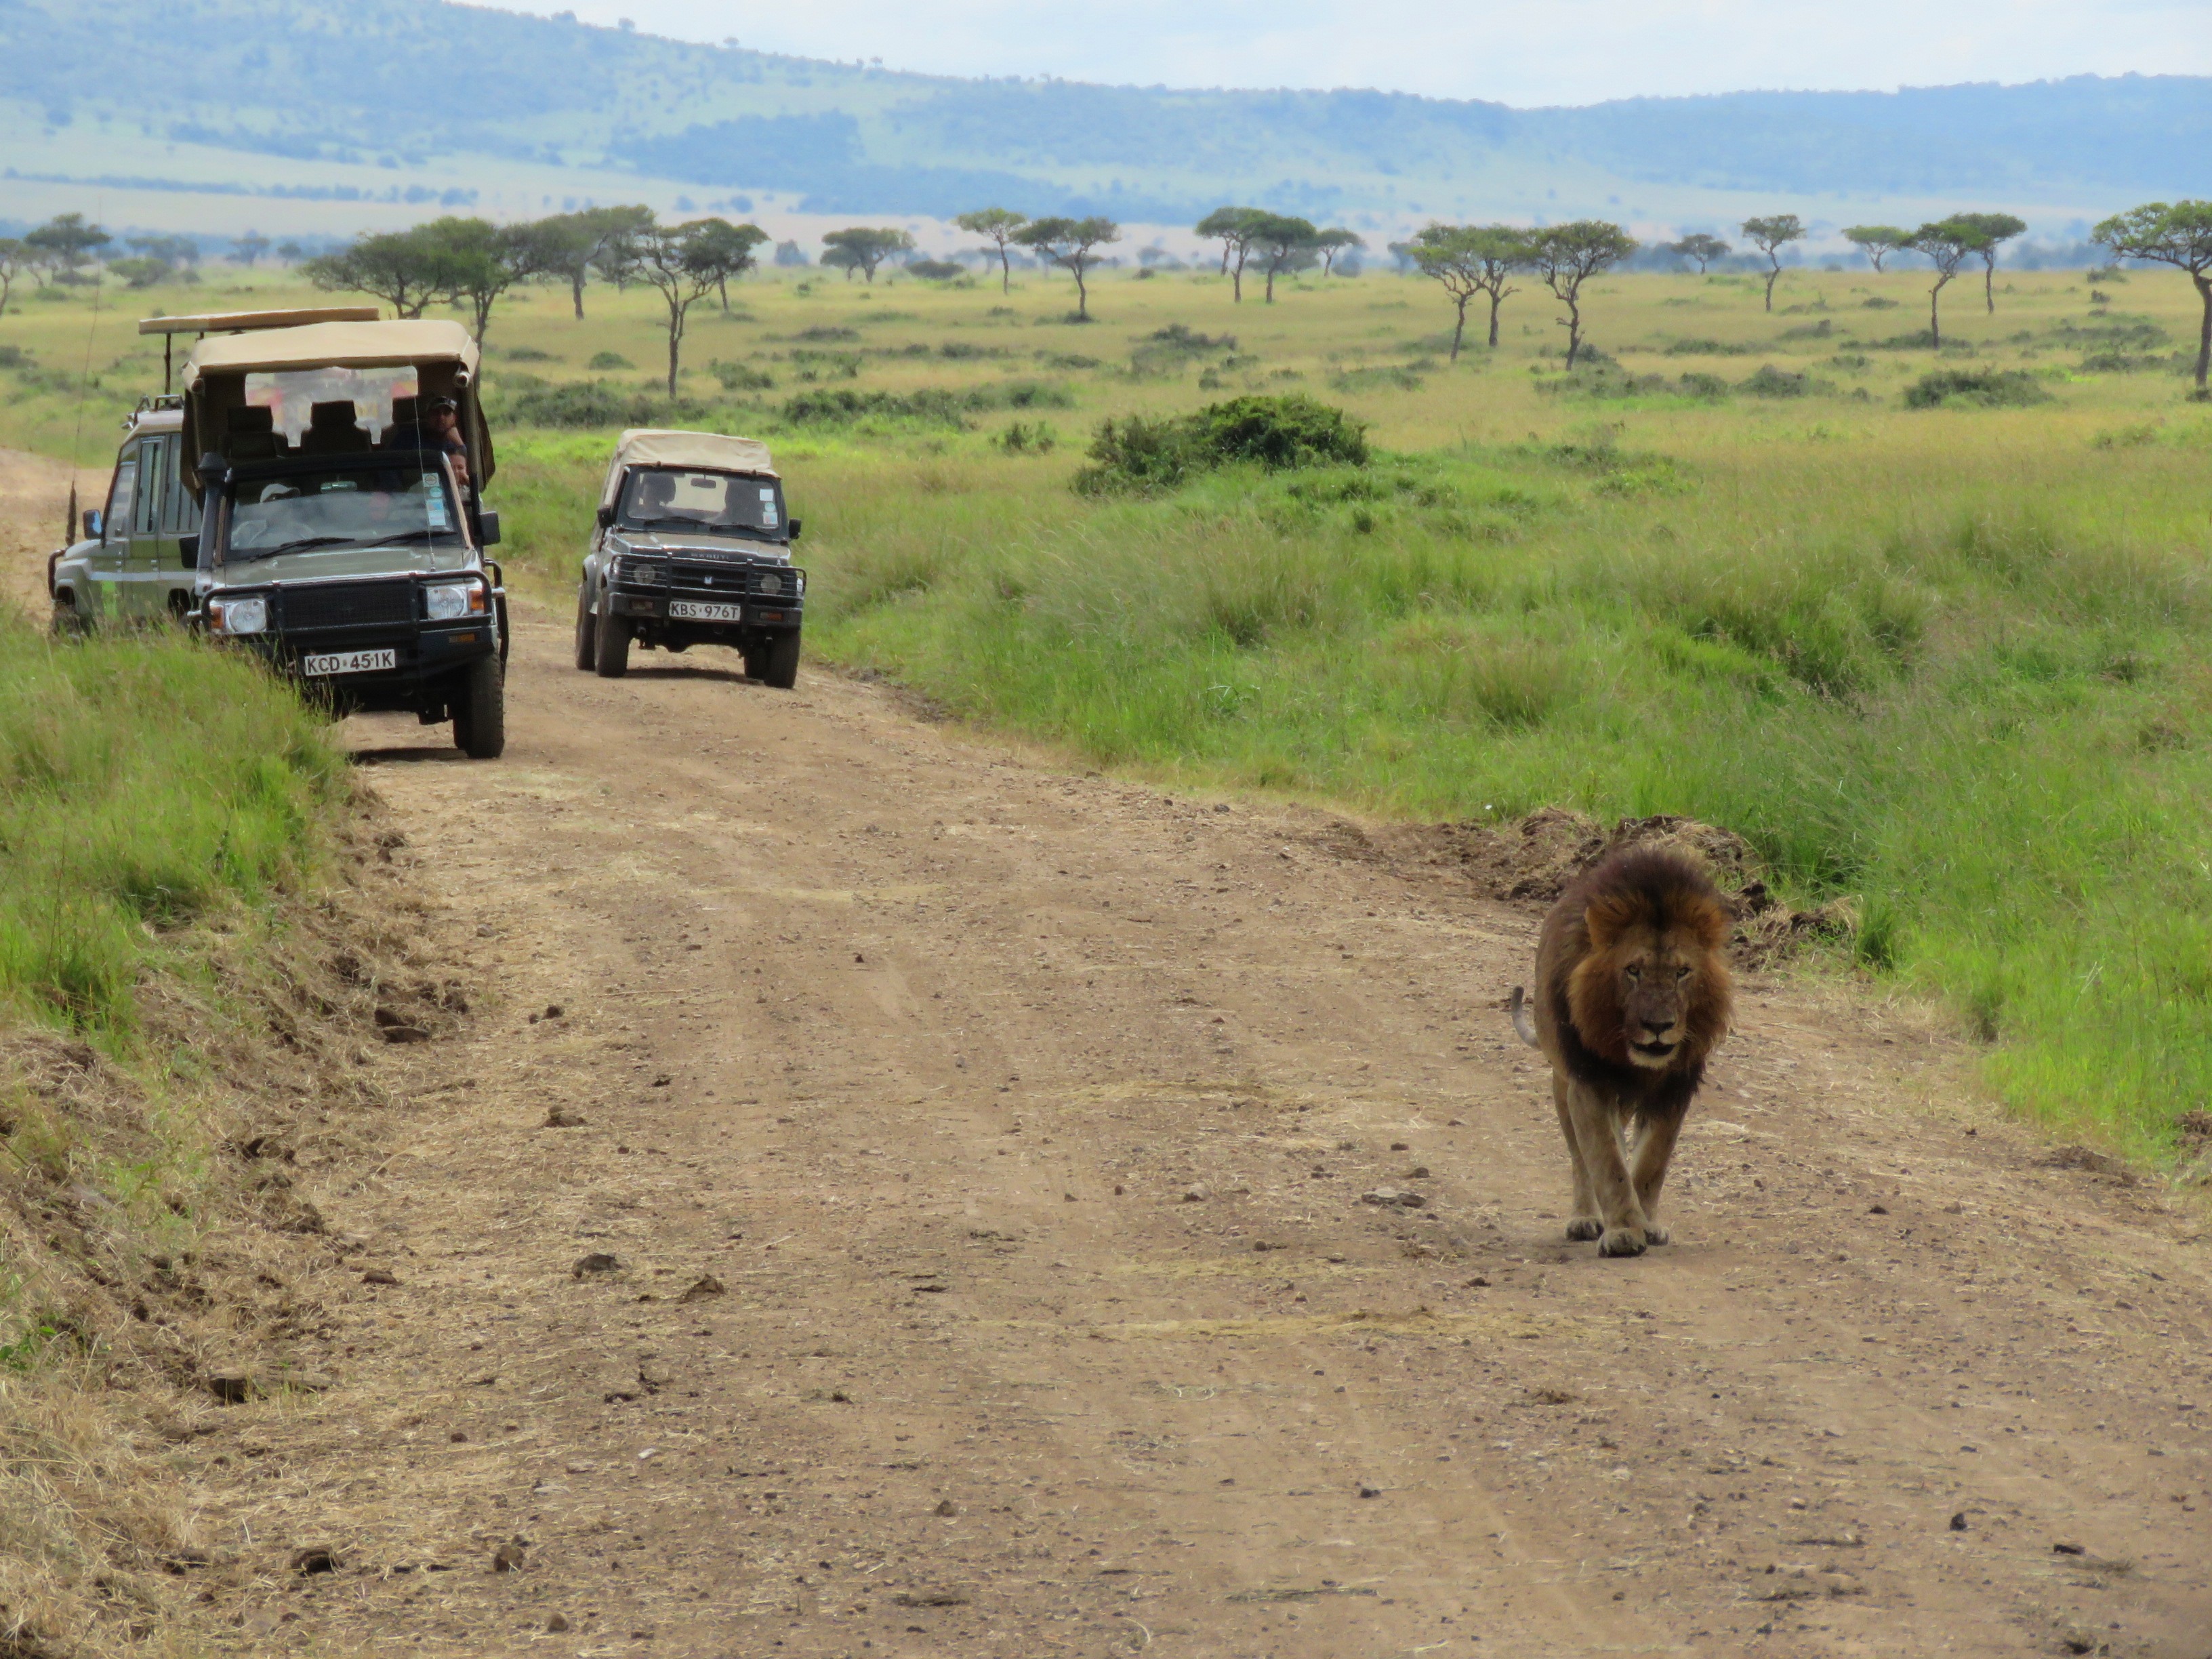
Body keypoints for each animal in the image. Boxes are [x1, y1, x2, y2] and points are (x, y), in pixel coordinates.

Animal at [1513, 849, 1734, 1256]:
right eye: (1633, 970)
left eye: (1682, 971)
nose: (1658, 1025)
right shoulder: (1589, 1082)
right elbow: (1606, 1160)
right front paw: (1623, 1233)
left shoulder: (1674, 1089)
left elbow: (1650, 1165)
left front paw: (1646, 1224)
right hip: (1562, 1083)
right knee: (1579, 1157)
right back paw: (1586, 1219)